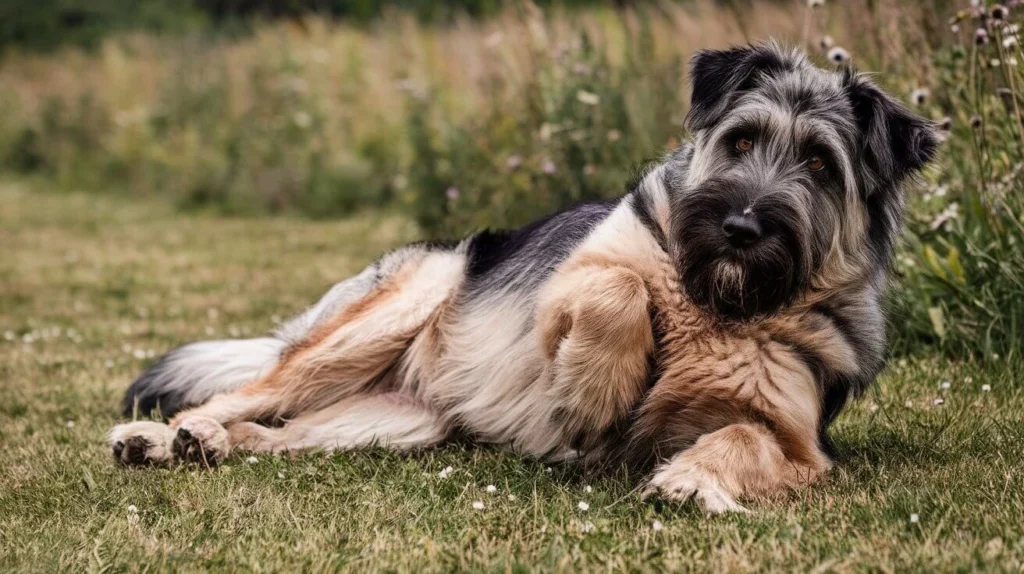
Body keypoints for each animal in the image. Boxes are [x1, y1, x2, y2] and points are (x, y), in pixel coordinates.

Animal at [110, 42, 937, 511]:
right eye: (740, 141)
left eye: (820, 165)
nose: (740, 227)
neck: (717, 304)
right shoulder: (566, 287)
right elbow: (617, 289)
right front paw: (594, 395)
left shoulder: (795, 441)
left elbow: (740, 439)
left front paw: (692, 480)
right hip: (386, 316)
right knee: (247, 391)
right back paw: (164, 435)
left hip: (391, 423)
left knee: (274, 432)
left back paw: (205, 445)